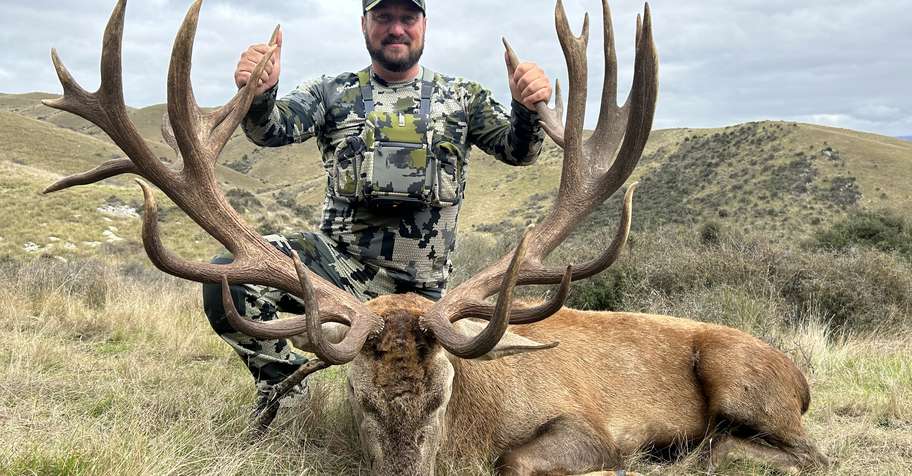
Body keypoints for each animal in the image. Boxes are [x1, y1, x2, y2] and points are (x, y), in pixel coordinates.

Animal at [42, 0, 829, 474]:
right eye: (358, 398)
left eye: (442, 397)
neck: (476, 421)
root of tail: (801, 378)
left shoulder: (587, 424)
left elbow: (523, 459)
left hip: (742, 373)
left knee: (807, 451)